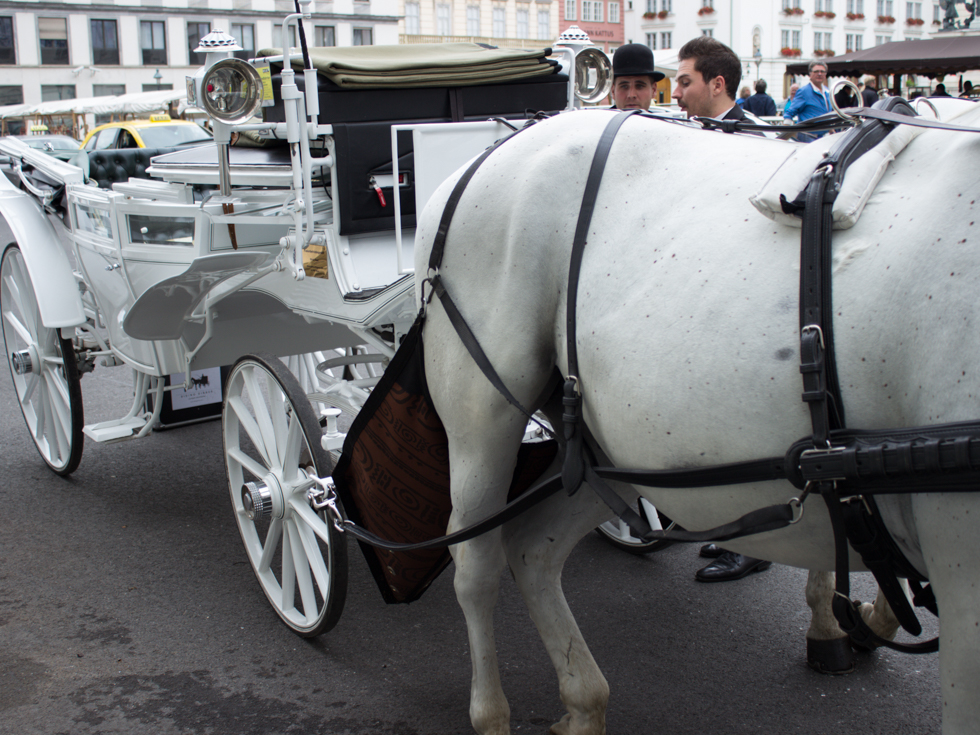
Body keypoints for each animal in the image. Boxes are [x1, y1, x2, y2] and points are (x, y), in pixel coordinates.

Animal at [412, 105, 980, 735]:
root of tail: (492, 153)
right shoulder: (966, 590)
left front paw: (854, 620)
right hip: (480, 420)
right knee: (476, 563)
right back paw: (492, 711)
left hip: (616, 452)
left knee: (533, 549)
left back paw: (584, 703)